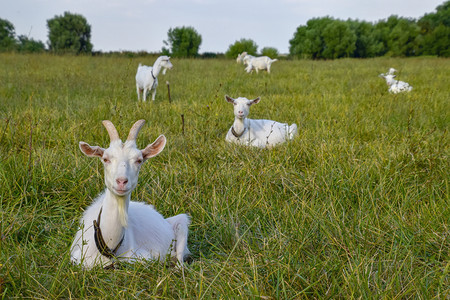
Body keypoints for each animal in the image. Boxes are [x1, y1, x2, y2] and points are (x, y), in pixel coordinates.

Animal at [70, 119, 190, 270]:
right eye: (105, 159)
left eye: (139, 160)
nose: (121, 181)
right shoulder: (76, 257)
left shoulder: (142, 257)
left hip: (182, 222)